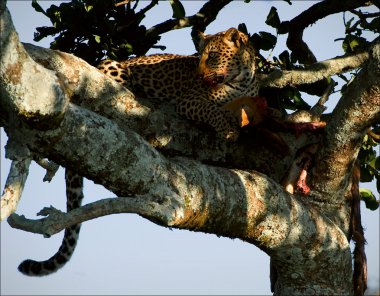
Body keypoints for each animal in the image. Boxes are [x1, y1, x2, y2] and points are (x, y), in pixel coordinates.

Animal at [16, 26, 260, 276]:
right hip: (112, 67)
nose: (199, 76)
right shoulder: (190, 100)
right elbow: (212, 109)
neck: (240, 79)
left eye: (212, 56)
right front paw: (227, 130)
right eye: (199, 57)